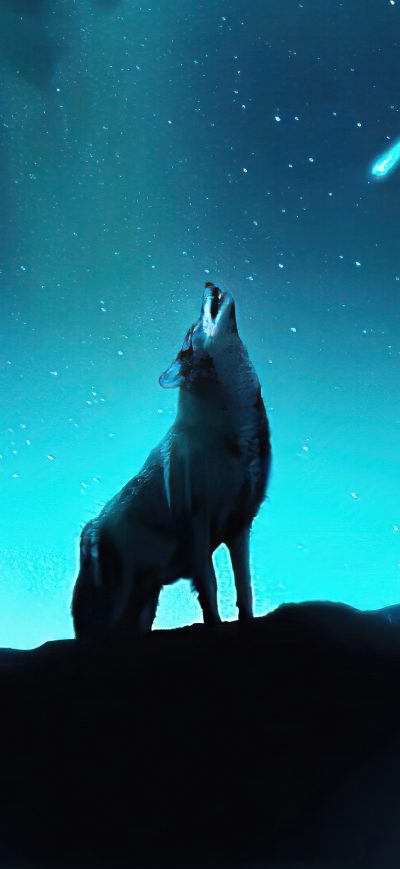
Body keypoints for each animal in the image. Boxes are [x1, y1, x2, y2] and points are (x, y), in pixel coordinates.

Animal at [71, 282, 271, 639]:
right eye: (191, 332)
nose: (208, 284)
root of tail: (90, 528)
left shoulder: (240, 526)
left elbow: (244, 588)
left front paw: (247, 623)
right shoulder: (197, 528)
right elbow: (210, 587)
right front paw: (215, 627)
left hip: (144, 605)